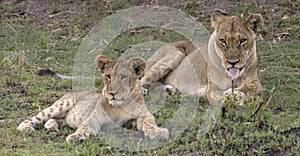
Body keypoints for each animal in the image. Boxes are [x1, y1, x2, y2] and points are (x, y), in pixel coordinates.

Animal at [17, 54, 169, 143]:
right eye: (108, 76)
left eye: (123, 77)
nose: (112, 93)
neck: (120, 105)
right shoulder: (94, 118)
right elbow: (84, 126)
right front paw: (75, 137)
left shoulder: (144, 115)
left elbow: (149, 123)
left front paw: (158, 132)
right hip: (63, 104)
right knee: (36, 117)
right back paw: (26, 127)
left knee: (60, 120)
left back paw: (51, 125)